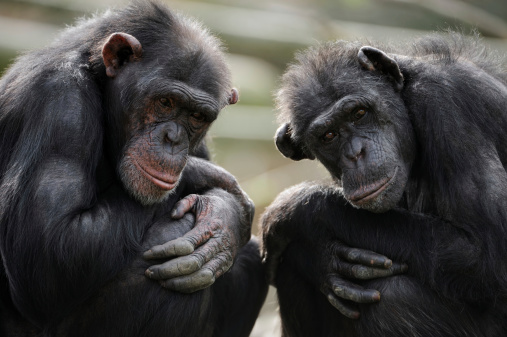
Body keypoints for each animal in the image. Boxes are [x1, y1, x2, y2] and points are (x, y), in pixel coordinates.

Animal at [0, 1, 268, 334]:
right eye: (166, 102)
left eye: (196, 117)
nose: (173, 138)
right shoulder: (58, 101)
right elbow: (50, 250)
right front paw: (211, 188)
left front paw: (223, 218)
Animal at [264, 34, 507, 336]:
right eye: (328, 136)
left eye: (359, 113)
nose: (355, 153)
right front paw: (319, 257)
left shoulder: (447, 105)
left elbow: (483, 253)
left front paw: (297, 208)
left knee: (391, 298)